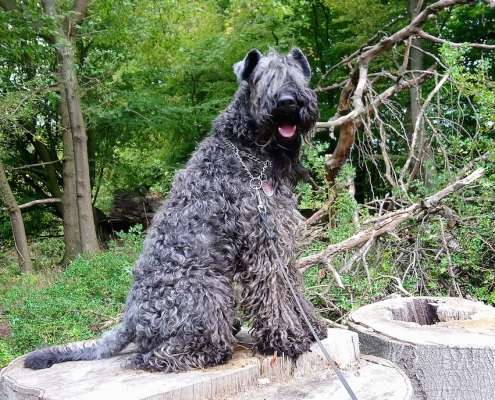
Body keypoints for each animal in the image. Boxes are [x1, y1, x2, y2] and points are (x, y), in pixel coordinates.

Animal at [26, 48, 330, 374]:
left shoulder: (279, 238)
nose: (288, 102)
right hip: (207, 292)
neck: (250, 152)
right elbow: (275, 293)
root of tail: (130, 321)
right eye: (261, 78)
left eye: (296, 75)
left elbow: (293, 287)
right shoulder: (261, 245)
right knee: (160, 355)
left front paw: (311, 326)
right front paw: (287, 339)